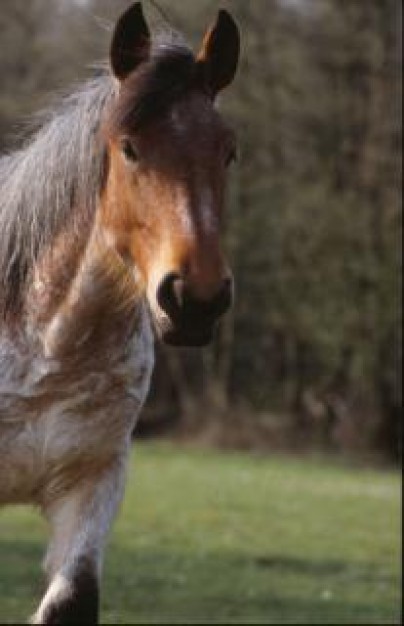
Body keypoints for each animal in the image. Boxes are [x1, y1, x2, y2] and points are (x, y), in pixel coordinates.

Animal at [0, 2, 240, 620]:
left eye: (228, 150)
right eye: (129, 147)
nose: (195, 298)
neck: (47, 345)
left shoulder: (93, 480)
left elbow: (73, 598)